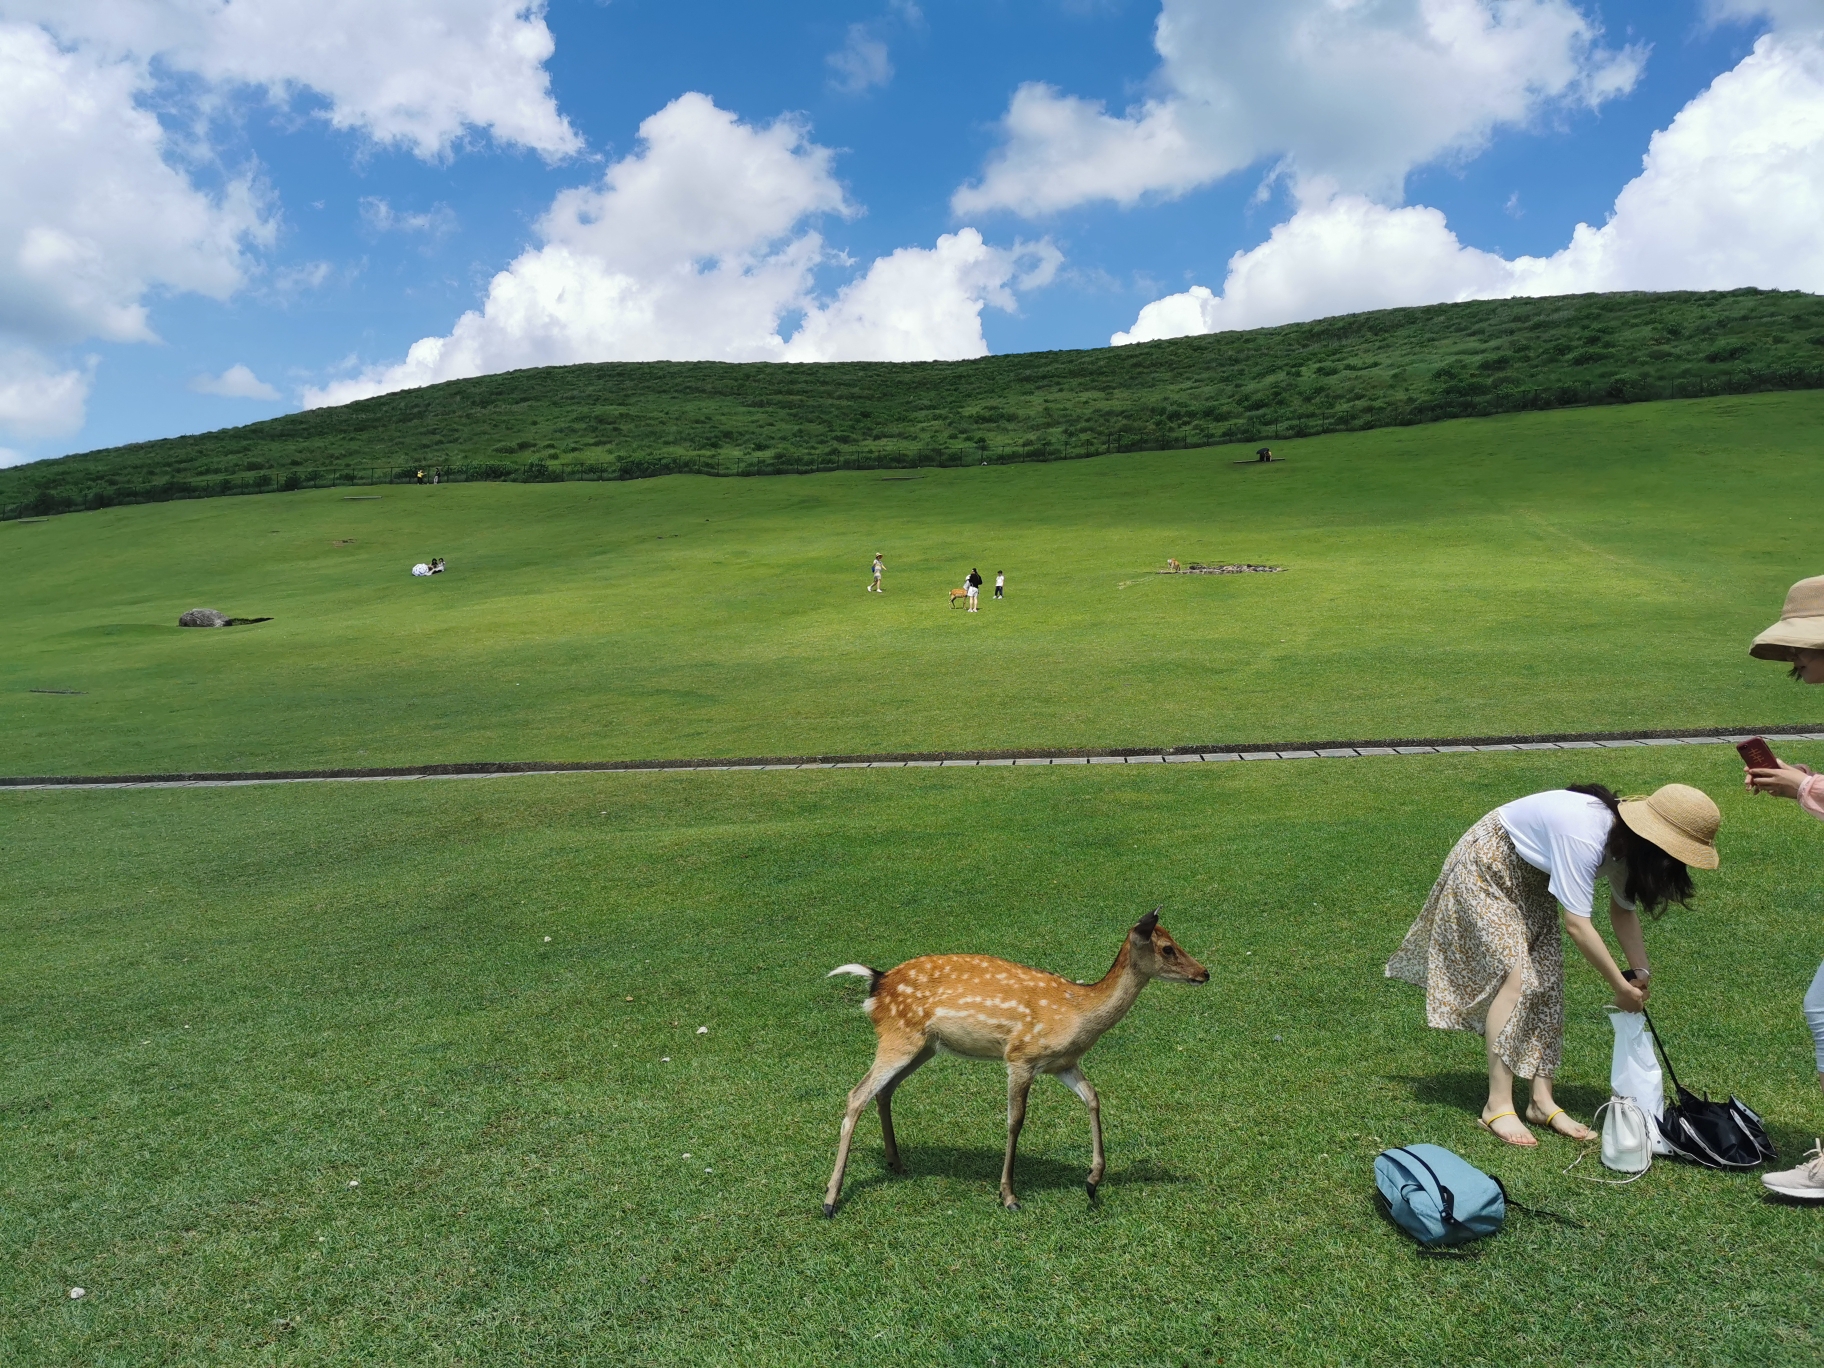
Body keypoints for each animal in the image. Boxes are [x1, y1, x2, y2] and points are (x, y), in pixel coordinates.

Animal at [820, 912, 1203, 1218]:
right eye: (1167, 948)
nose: (1204, 972)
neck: (1078, 1013)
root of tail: (876, 982)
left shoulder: (1062, 1063)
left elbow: (1093, 1097)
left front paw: (1093, 1182)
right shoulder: (1020, 1057)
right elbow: (1015, 1121)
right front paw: (1009, 1196)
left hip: (925, 1046)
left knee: (884, 1092)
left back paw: (896, 1163)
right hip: (898, 1037)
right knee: (857, 1095)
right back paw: (830, 1200)